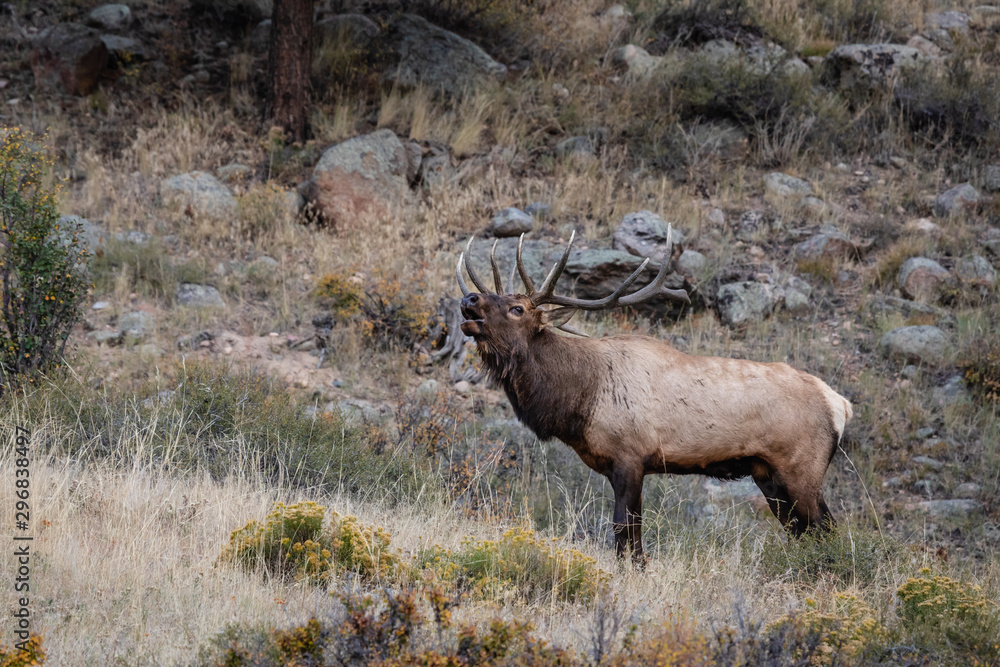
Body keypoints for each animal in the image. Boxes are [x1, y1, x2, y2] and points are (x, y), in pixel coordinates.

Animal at [456, 228, 853, 563]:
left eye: (517, 309)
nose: (469, 298)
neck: (580, 400)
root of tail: (840, 404)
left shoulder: (630, 456)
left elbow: (625, 531)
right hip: (767, 474)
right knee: (804, 531)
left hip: (802, 468)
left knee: (827, 528)